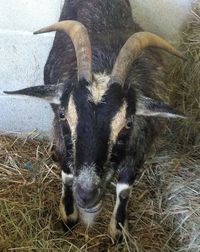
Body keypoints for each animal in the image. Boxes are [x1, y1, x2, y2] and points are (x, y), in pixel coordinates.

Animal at [3, 0, 184, 240]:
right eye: (64, 114)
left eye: (128, 123)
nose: (86, 194)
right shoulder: (62, 137)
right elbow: (67, 174)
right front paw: (69, 216)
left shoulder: (139, 148)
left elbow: (124, 188)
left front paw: (118, 230)